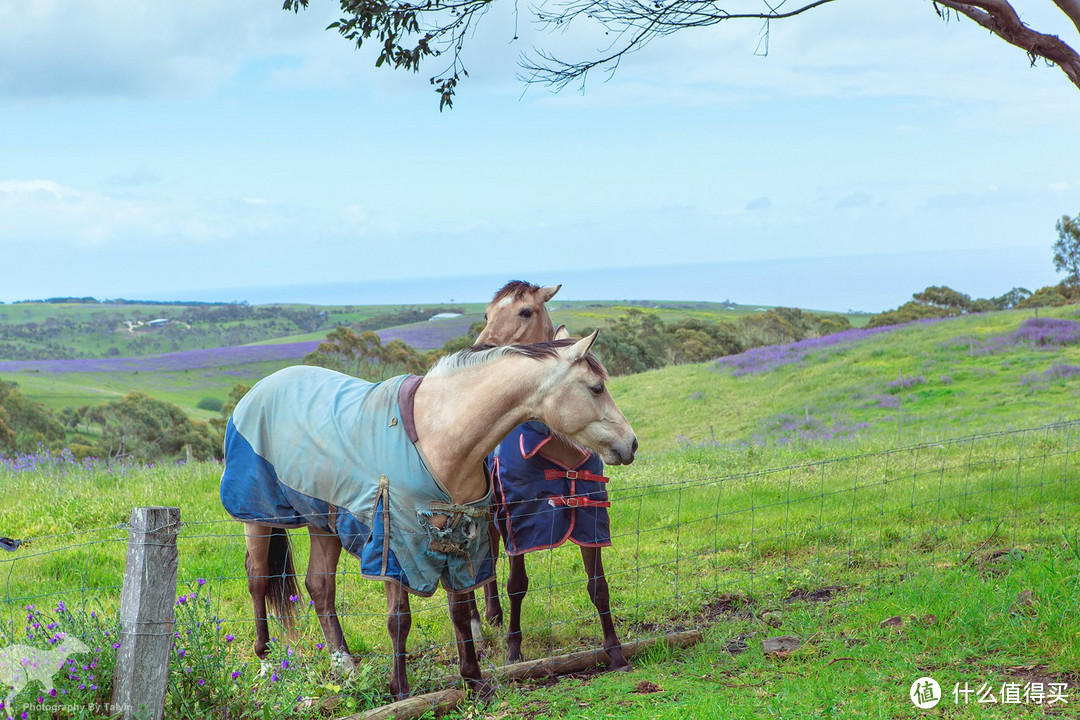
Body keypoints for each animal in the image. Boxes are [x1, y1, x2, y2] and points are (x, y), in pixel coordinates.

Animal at [222, 330, 635, 699]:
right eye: (596, 388)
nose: (630, 444)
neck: (440, 436)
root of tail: (255, 393)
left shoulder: (460, 538)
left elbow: (460, 612)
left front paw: (474, 682)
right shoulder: (394, 545)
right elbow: (399, 619)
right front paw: (400, 690)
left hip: (324, 524)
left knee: (320, 588)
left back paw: (347, 668)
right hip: (258, 520)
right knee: (258, 579)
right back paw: (267, 663)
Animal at [473, 280, 630, 669]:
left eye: (525, 311)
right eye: (486, 313)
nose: (482, 348)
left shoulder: (590, 515)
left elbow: (598, 585)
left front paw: (615, 651)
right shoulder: (517, 520)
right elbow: (517, 584)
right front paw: (514, 649)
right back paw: (488, 619)